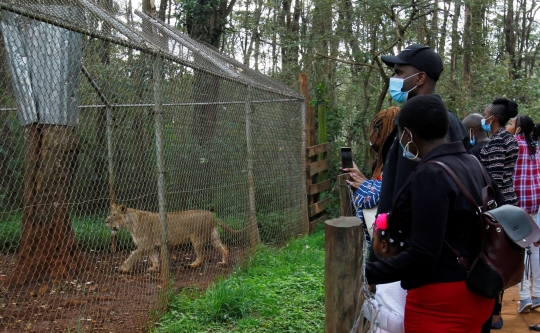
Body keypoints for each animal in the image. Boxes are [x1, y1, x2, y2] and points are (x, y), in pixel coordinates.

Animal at [104, 202, 235, 272]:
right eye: (110, 214)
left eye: (114, 215)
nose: (105, 221)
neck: (130, 224)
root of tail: (211, 214)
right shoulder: (149, 245)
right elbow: (153, 257)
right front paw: (154, 268)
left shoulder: (145, 244)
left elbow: (133, 255)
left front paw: (123, 268)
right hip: (213, 236)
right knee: (224, 248)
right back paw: (223, 263)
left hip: (197, 238)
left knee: (202, 255)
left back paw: (192, 265)